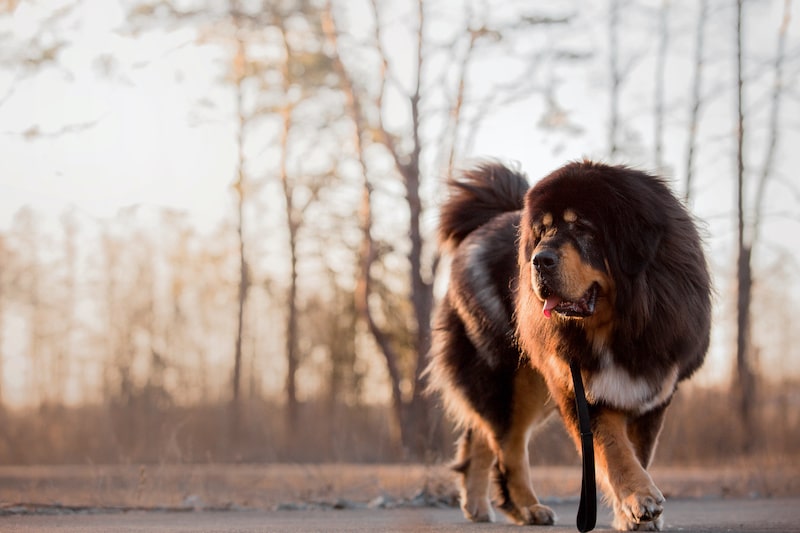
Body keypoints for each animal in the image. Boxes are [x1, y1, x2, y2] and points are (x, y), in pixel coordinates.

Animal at [424, 160, 712, 528]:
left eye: (583, 227)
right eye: (543, 231)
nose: (539, 259)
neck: (619, 326)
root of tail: (483, 225)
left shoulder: (652, 391)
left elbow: (637, 453)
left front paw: (633, 516)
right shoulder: (581, 389)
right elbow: (614, 450)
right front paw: (641, 499)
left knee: (483, 436)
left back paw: (479, 506)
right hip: (512, 377)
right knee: (508, 446)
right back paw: (527, 508)